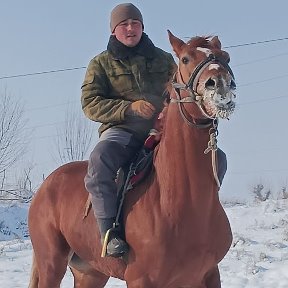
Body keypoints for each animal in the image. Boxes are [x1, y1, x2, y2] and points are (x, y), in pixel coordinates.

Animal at [28, 31, 236, 288]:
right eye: (186, 59)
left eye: (225, 57)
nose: (220, 84)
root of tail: (45, 186)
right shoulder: (141, 279)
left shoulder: (207, 275)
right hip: (51, 264)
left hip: (91, 273)